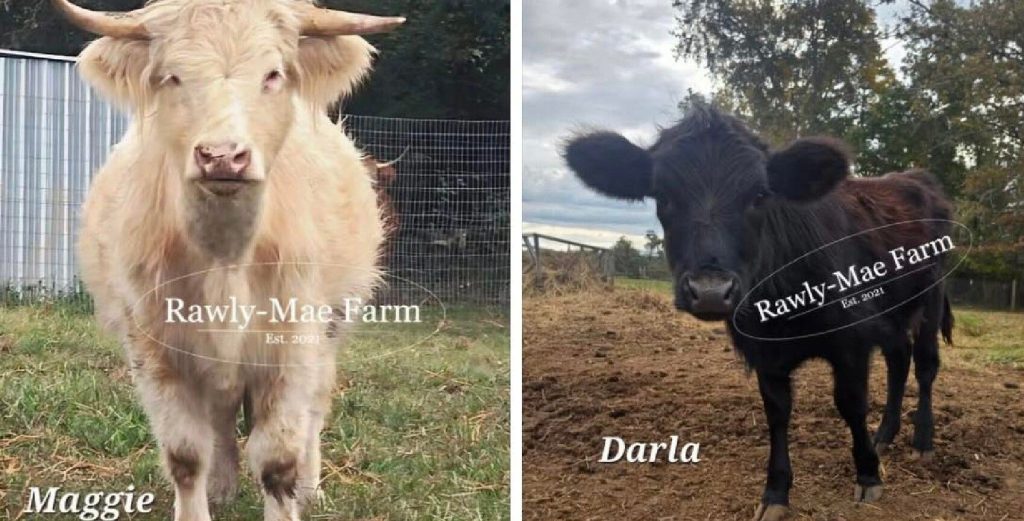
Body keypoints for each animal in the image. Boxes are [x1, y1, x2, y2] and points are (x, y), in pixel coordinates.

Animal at [53, 1, 403, 520]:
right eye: (173, 76)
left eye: (272, 74)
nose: (222, 156)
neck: (225, 256)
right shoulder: (156, 349)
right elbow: (185, 454)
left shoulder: (292, 345)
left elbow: (278, 459)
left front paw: (292, 493)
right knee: (219, 417)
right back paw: (222, 486)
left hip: (333, 329)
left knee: (315, 409)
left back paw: (312, 487)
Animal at [564, 104, 954, 521]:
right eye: (663, 196)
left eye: (759, 195)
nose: (710, 292)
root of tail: (916, 178)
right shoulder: (764, 352)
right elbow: (777, 413)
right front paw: (776, 492)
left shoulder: (852, 342)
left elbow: (850, 404)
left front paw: (868, 474)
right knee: (900, 359)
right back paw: (884, 434)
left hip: (932, 295)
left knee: (925, 364)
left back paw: (922, 439)